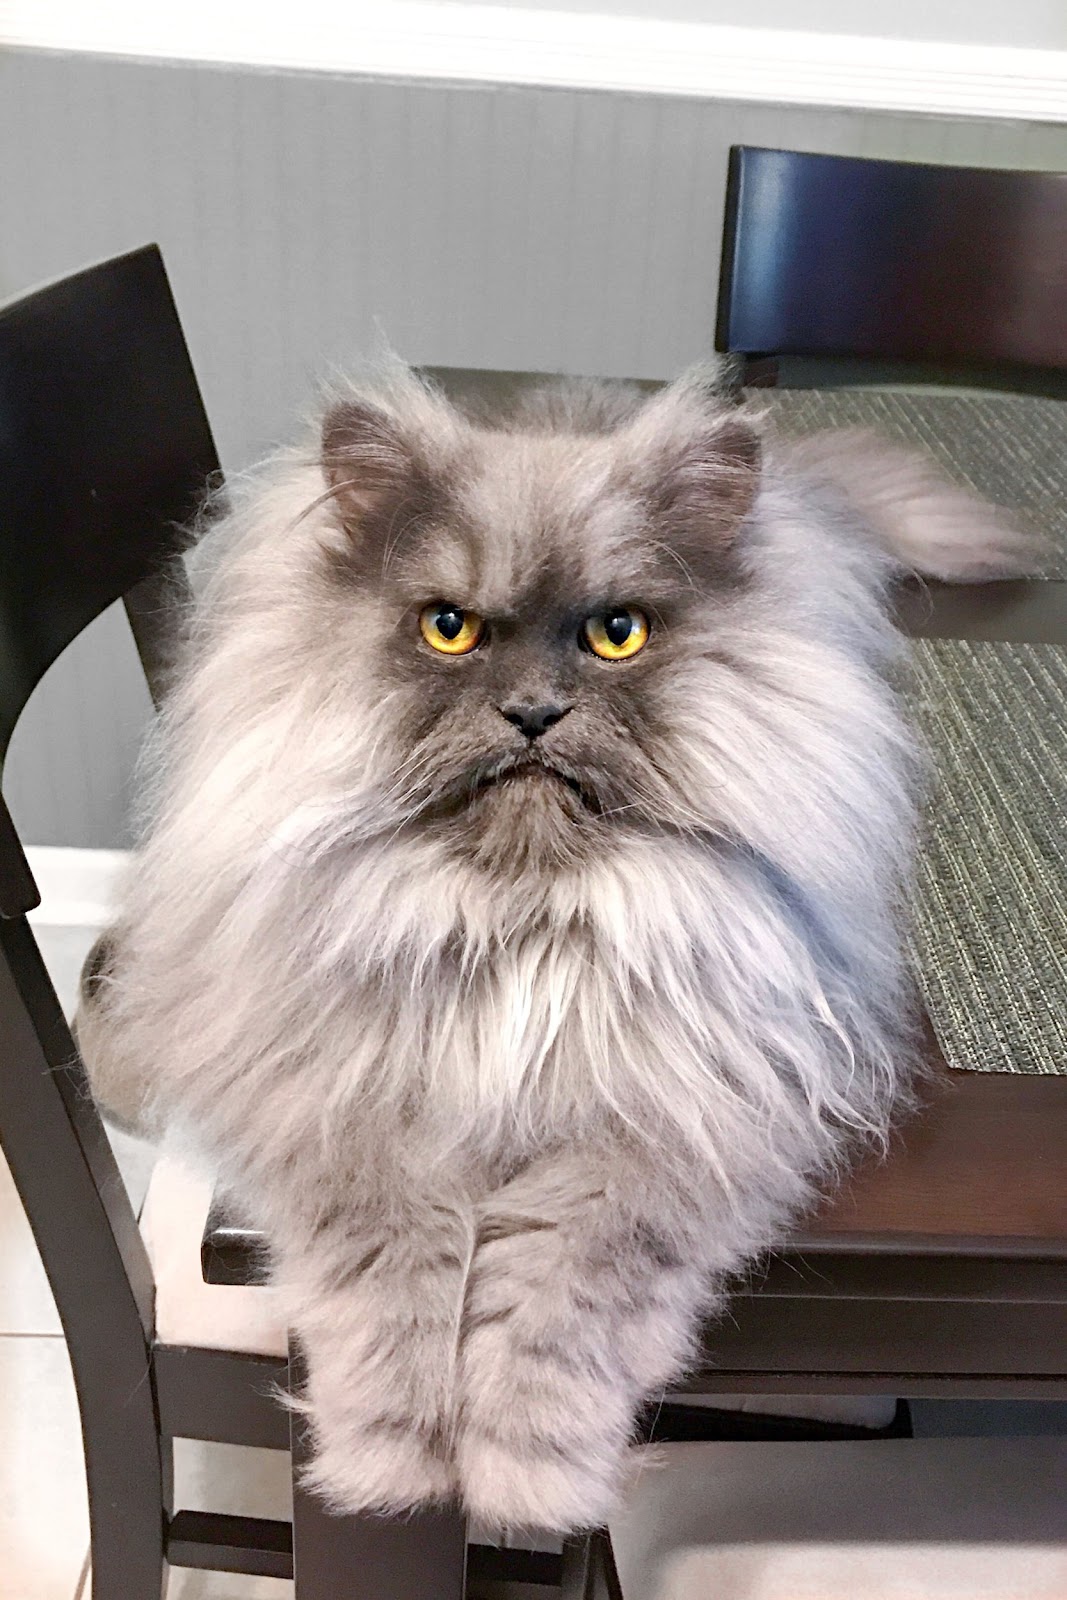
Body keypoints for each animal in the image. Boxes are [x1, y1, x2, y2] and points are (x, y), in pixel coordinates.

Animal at [77, 368, 1036, 1529]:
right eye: (448, 629)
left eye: (616, 633)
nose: (533, 713)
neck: (521, 929)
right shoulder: (347, 1103)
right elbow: (393, 1284)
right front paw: (391, 1460)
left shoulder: (663, 1131)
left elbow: (554, 1307)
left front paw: (523, 1475)